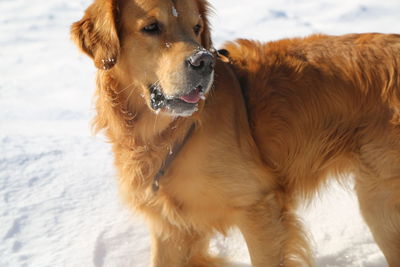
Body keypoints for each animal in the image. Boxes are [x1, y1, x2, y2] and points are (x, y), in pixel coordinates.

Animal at [72, 1, 400, 266]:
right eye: (151, 27)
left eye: (197, 28)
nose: (204, 61)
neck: (171, 133)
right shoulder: (171, 228)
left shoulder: (259, 208)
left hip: (380, 202)